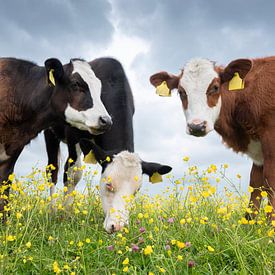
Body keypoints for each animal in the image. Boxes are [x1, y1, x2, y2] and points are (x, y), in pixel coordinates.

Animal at [45, 58, 172, 233]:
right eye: (109, 185)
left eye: (136, 190)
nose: (118, 226)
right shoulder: (73, 135)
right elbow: (73, 173)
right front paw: (65, 216)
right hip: (50, 134)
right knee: (52, 171)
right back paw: (52, 210)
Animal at [151, 57, 275, 220]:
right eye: (181, 92)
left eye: (215, 87)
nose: (197, 126)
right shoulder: (258, 150)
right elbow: (255, 183)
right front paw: (250, 224)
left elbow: (270, 180)